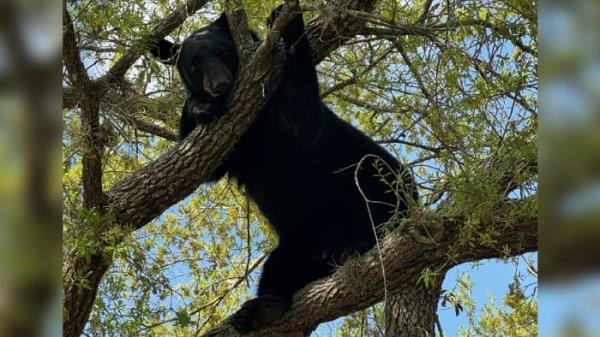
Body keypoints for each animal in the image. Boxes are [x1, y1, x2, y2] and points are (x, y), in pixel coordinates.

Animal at [150, 6, 418, 332]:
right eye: (193, 65)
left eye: (223, 52)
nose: (219, 86)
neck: (254, 122)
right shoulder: (237, 147)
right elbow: (203, 166)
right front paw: (200, 106)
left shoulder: (282, 116)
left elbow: (299, 119)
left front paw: (287, 22)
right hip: (297, 245)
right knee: (278, 268)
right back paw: (263, 308)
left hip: (378, 177)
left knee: (386, 196)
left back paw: (359, 244)